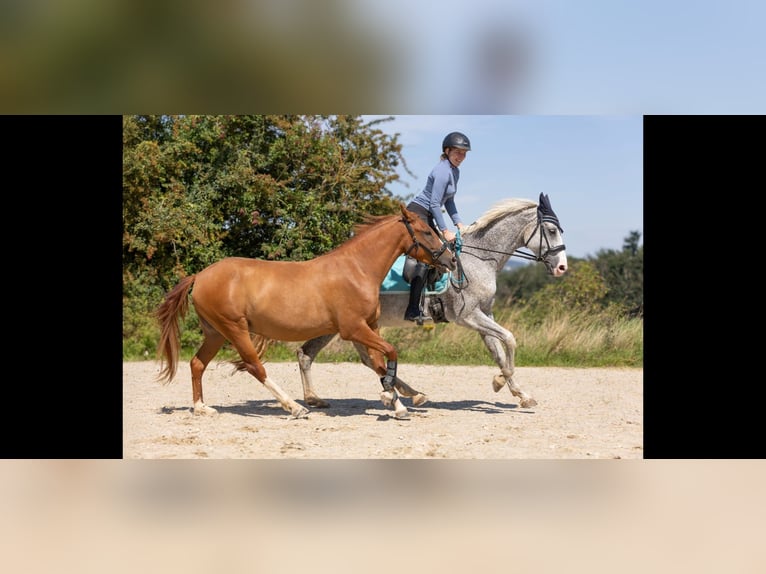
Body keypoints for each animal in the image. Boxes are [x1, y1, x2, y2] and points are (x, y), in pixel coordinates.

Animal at [155, 203, 457, 420]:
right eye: (427, 232)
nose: (451, 259)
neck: (357, 269)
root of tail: (200, 276)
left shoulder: (370, 326)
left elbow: (379, 362)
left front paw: (399, 405)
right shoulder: (353, 329)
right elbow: (390, 353)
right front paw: (392, 399)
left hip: (215, 333)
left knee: (197, 364)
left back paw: (201, 408)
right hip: (234, 328)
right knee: (254, 366)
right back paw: (295, 407)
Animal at [295, 192, 568, 410]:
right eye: (552, 231)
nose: (562, 267)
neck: (480, 260)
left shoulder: (484, 314)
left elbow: (499, 351)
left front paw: (520, 393)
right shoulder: (468, 317)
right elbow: (509, 339)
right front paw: (500, 381)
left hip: (355, 325)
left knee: (330, 355)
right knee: (317, 354)